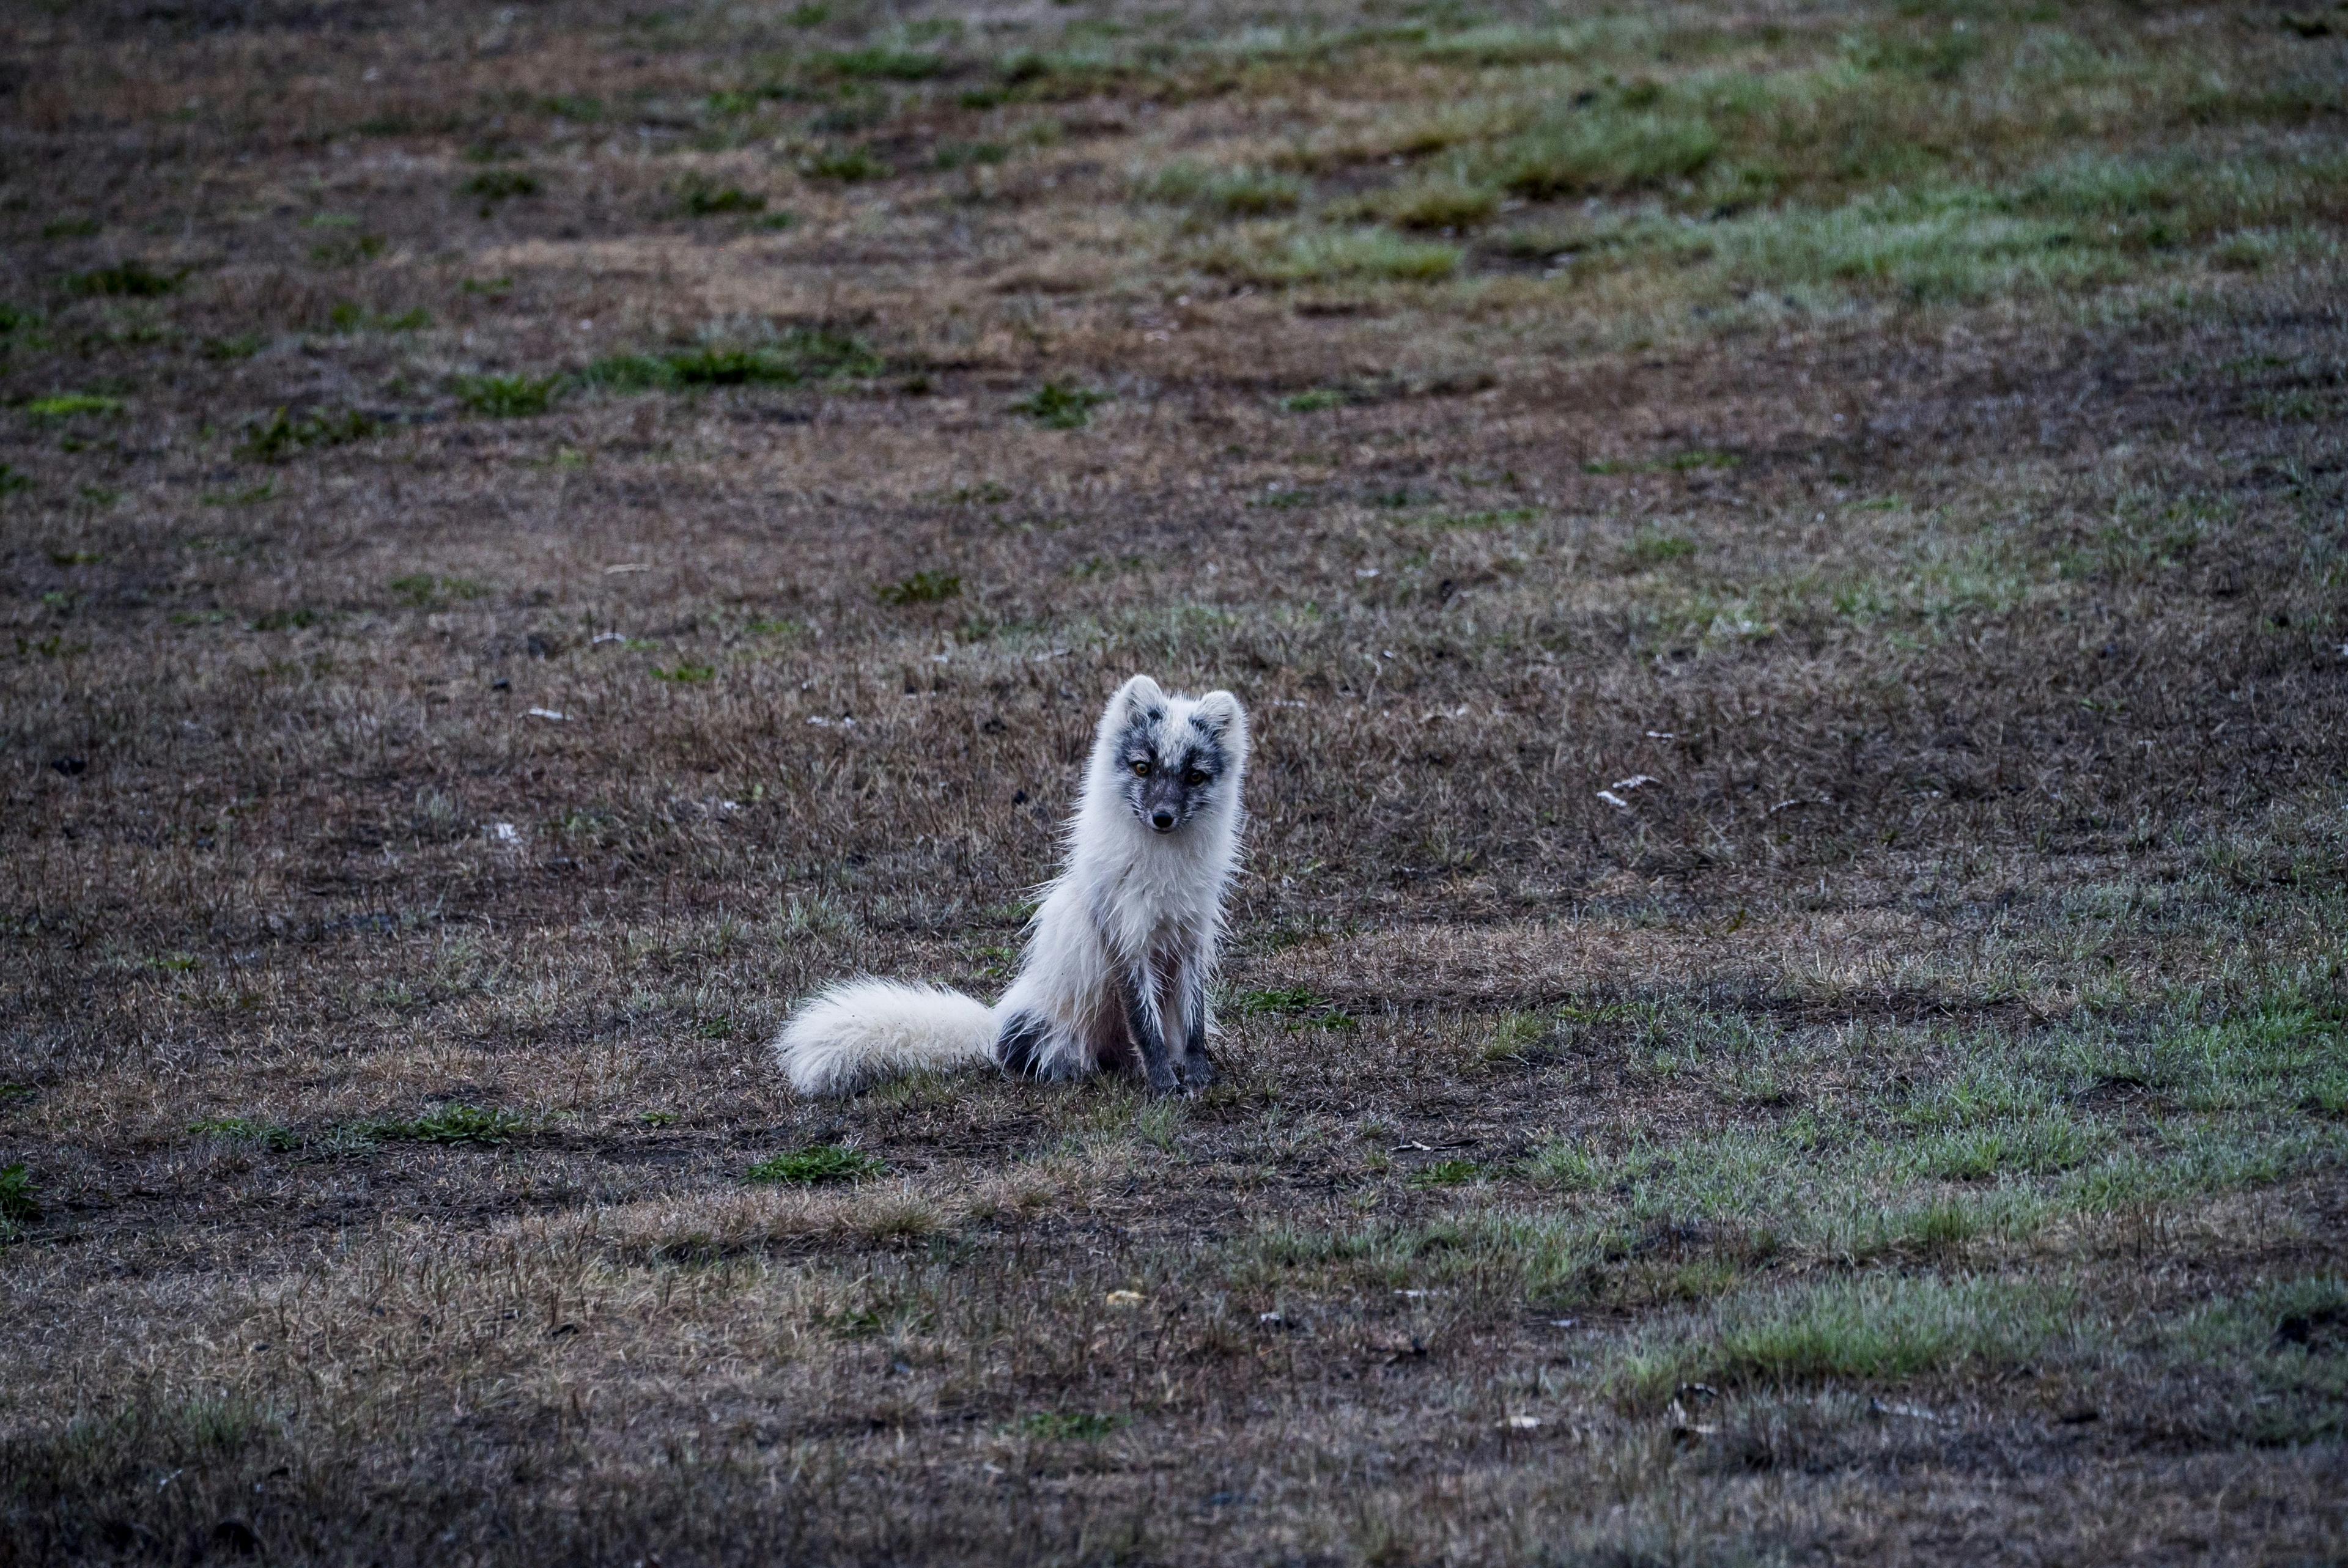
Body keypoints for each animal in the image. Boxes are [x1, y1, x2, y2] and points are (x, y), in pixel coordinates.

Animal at [770, 675, 1249, 1103]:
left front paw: (1199, 1077)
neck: (1164, 869)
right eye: (1143, 767)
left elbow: (1193, 1023)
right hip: (1049, 1032)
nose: (1162, 818)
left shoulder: (1192, 936)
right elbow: (1146, 1027)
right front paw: (1166, 1085)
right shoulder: (1124, 938)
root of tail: (995, 1030)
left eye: (1194, 777)